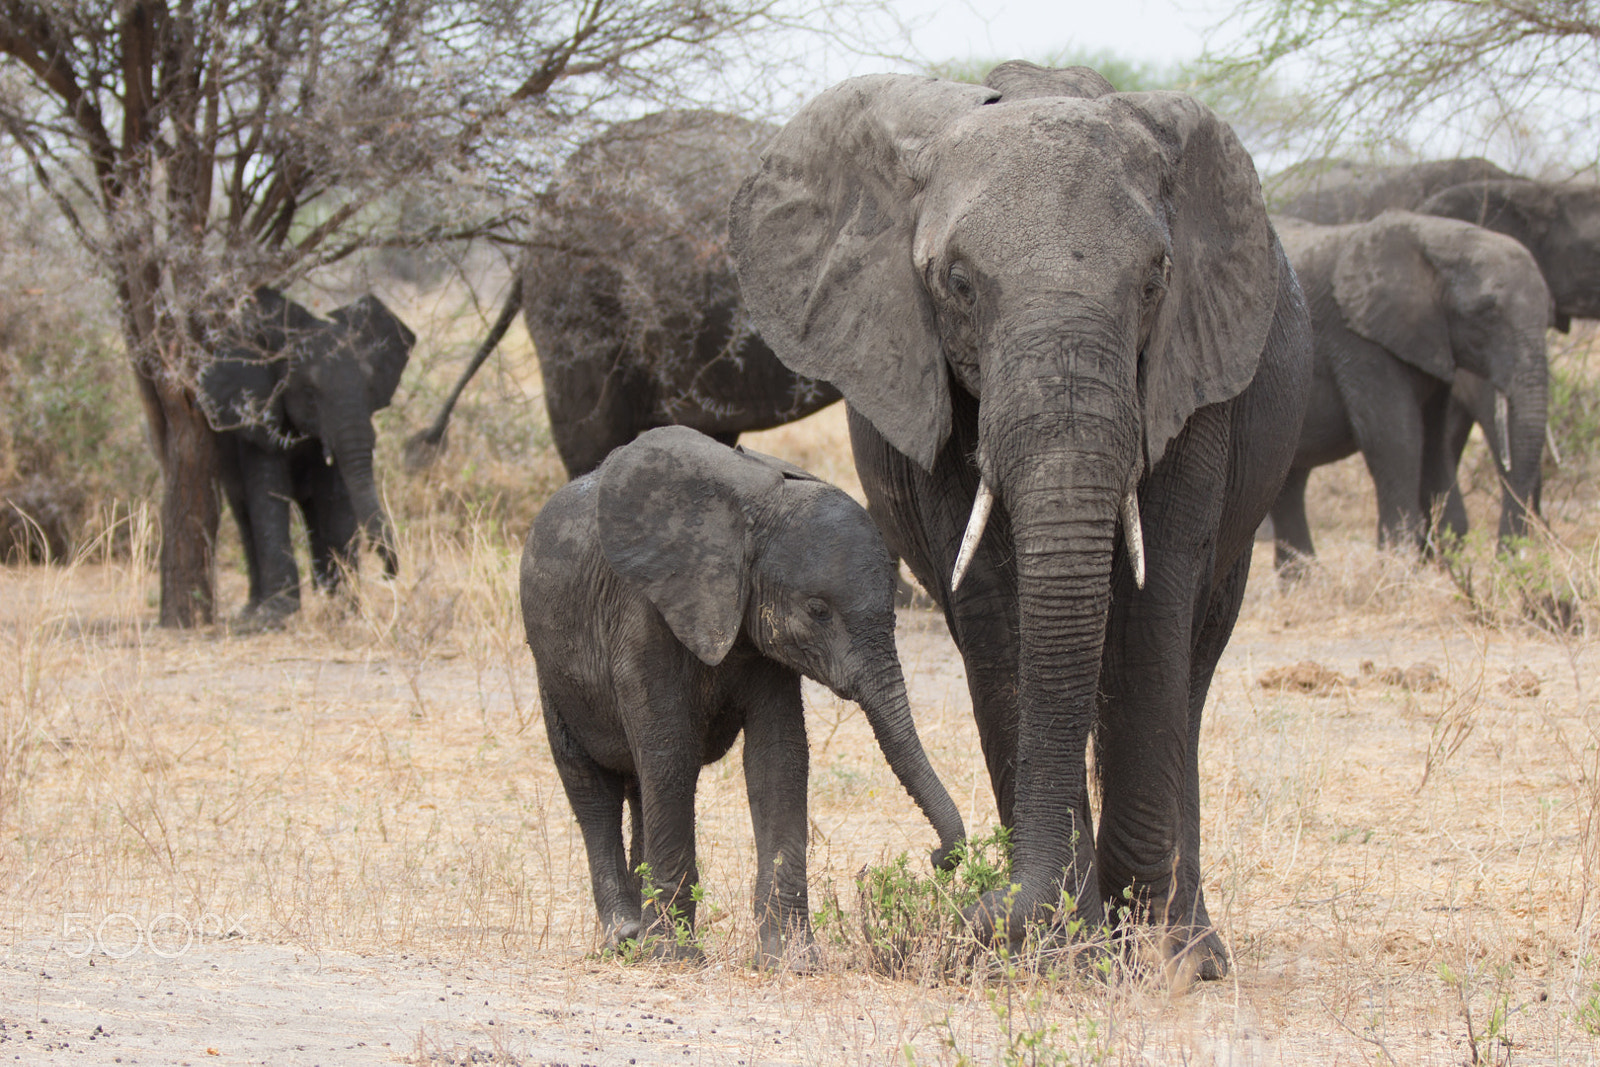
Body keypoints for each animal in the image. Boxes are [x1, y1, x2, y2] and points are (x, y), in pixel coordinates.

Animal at [200, 287, 416, 620]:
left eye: (370, 388)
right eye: (310, 393)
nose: (386, 574)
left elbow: (335, 499)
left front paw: (345, 608)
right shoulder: (260, 417)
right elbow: (268, 494)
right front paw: (277, 613)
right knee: (243, 511)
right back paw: (252, 609)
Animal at [524, 425, 966, 966]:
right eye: (817, 610)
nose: (939, 859)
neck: (756, 512)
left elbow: (778, 758)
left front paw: (792, 961)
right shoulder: (642, 614)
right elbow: (670, 753)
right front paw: (673, 957)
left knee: (638, 788)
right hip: (550, 671)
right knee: (592, 788)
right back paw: (625, 936)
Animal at [732, 64, 1312, 985]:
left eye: (1155, 282)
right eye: (959, 284)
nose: (955, 883)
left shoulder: (1190, 378)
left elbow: (1154, 602)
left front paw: (1139, 952)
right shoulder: (924, 379)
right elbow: (995, 607)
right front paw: (1061, 949)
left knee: (1190, 667)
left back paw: (1193, 950)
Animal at [1260, 211, 1548, 572]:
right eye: (1487, 312)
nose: (1507, 560)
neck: (1434, 234)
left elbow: (1433, 443)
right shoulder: (1360, 342)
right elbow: (1395, 437)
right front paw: (1398, 565)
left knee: (1289, 485)